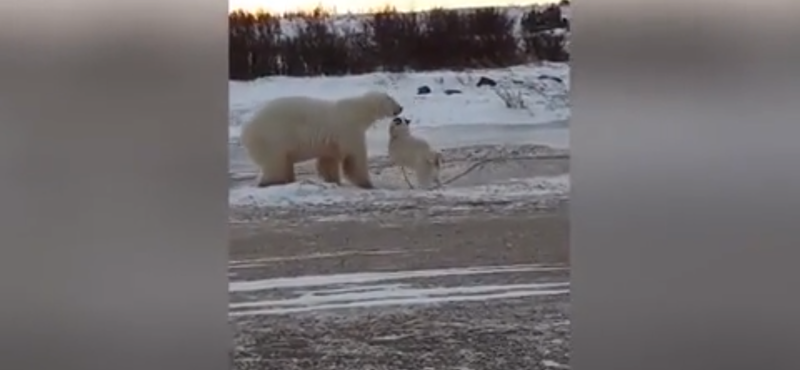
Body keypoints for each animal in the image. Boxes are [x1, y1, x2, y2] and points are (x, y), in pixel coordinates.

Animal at [239, 89, 404, 188]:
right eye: (391, 99)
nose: (401, 107)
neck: (357, 112)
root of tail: (247, 130)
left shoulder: (330, 142)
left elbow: (328, 159)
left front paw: (333, 180)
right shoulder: (348, 130)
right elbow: (355, 157)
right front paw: (366, 183)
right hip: (274, 136)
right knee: (275, 162)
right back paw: (272, 181)